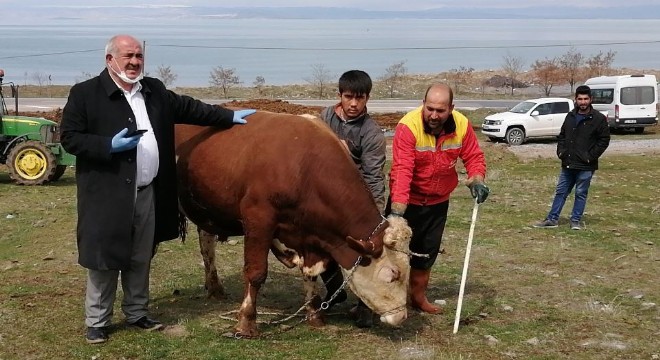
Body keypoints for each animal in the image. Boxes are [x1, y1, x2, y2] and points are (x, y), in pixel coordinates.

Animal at [175, 110, 412, 338]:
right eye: (392, 274)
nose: (401, 317)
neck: (304, 168)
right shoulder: (258, 220)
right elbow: (256, 273)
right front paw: (246, 324)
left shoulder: (310, 238)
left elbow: (311, 275)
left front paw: (314, 314)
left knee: (207, 245)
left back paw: (214, 287)